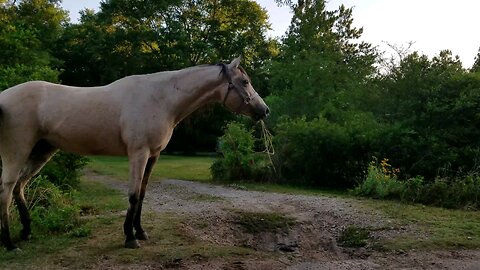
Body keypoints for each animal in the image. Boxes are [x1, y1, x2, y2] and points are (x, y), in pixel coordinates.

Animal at [0, 56, 270, 250]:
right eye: (245, 82)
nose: (264, 110)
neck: (160, 98)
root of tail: (4, 96)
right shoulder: (138, 154)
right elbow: (132, 195)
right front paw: (130, 238)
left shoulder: (153, 156)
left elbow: (142, 194)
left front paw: (140, 231)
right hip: (17, 153)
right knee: (6, 190)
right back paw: (10, 244)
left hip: (42, 152)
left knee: (20, 186)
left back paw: (26, 232)